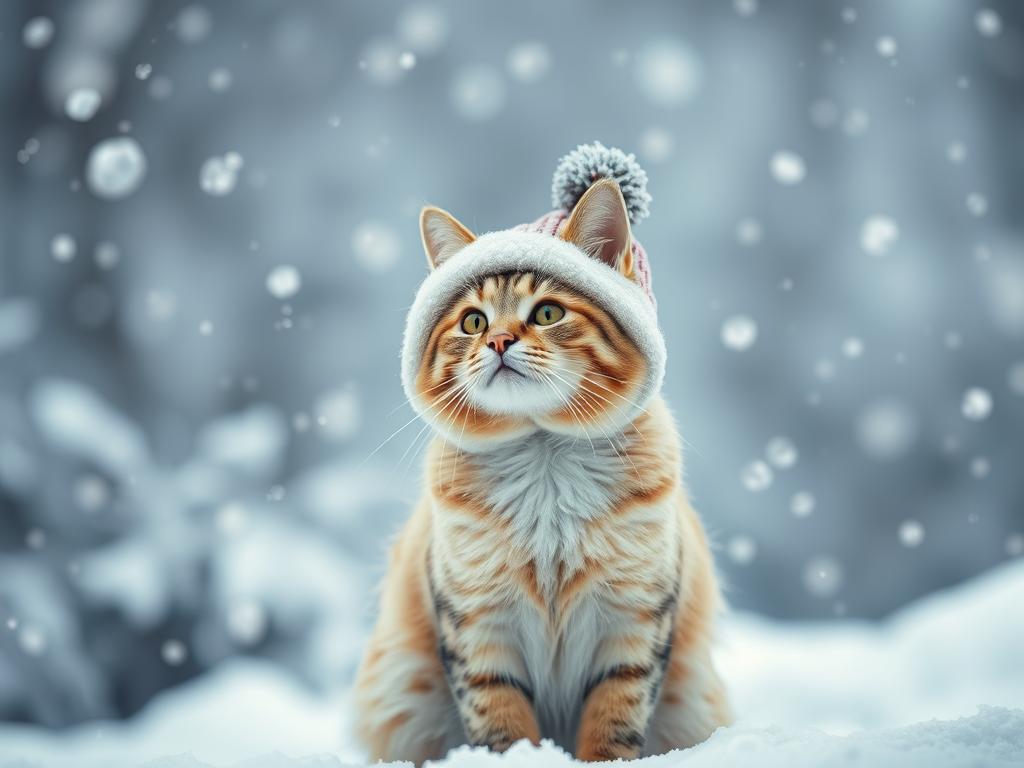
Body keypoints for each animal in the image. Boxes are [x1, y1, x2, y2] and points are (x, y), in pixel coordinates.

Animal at [356, 179, 733, 765]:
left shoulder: (636, 619)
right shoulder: (475, 624)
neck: (545, 460)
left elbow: (614, 723)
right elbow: (502, 723)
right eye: (473, 321)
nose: (497, 342)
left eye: (549, 313)